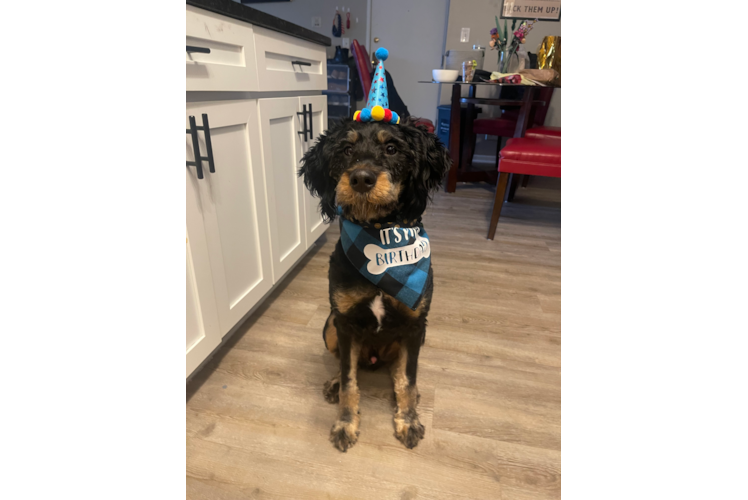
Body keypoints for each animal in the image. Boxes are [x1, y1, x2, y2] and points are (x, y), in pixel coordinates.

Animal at [298, 118, 450, 454]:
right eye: (346, 149)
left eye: (392, 148)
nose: (361, 179)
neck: (379, 237)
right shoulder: (344, 322)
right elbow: (349, 379)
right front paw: (345, 423)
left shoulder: (414, 324)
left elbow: (408, 379)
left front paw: (408, 420)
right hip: (329, 325)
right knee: (345, 362)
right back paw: (334, 382)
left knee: (398, 369)